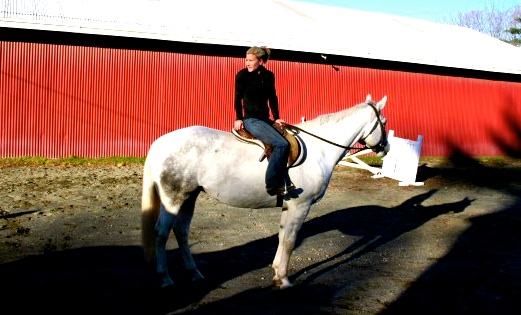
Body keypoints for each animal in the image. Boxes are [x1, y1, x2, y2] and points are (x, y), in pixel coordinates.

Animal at [140, 94, 388, 288]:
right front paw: (285, 280)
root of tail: (160, 142)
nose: (385, 148)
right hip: (173, 199)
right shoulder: (300, 206)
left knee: (181, 232)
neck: (319, 148)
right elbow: (290, 241)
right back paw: (165, 279)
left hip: (189, 197)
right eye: (383, 122)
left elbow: (282, 237)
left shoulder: (290, 206)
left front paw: (278, 273)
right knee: (161, 233)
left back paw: (195, 274)